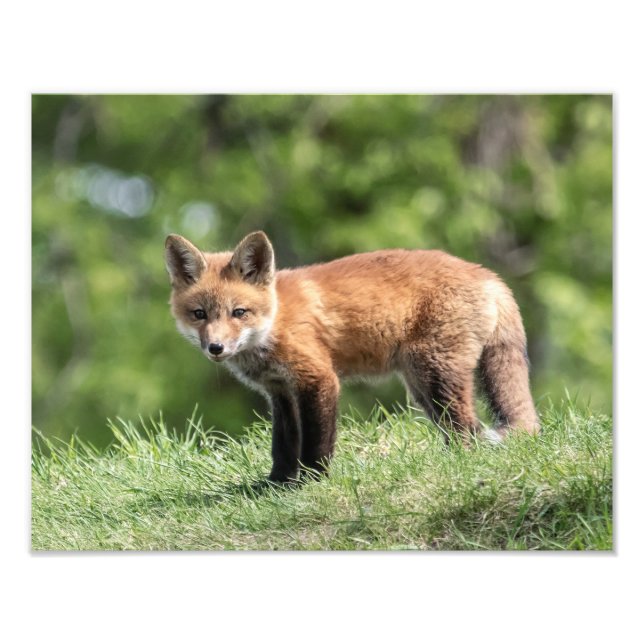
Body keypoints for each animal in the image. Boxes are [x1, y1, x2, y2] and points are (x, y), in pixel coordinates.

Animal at [165, 231, 539, 483]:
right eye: (199, 314)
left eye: (238, 312)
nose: (216, 348)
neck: (275, 321)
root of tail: (488, 275)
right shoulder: (280, 391)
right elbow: (283, 444)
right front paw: (276, 484)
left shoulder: (318, 379)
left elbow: (317, 441)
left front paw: (312, 481)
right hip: (421, 385)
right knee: (461, 427)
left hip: (435, 374)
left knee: (467, 429)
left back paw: (457, 464)